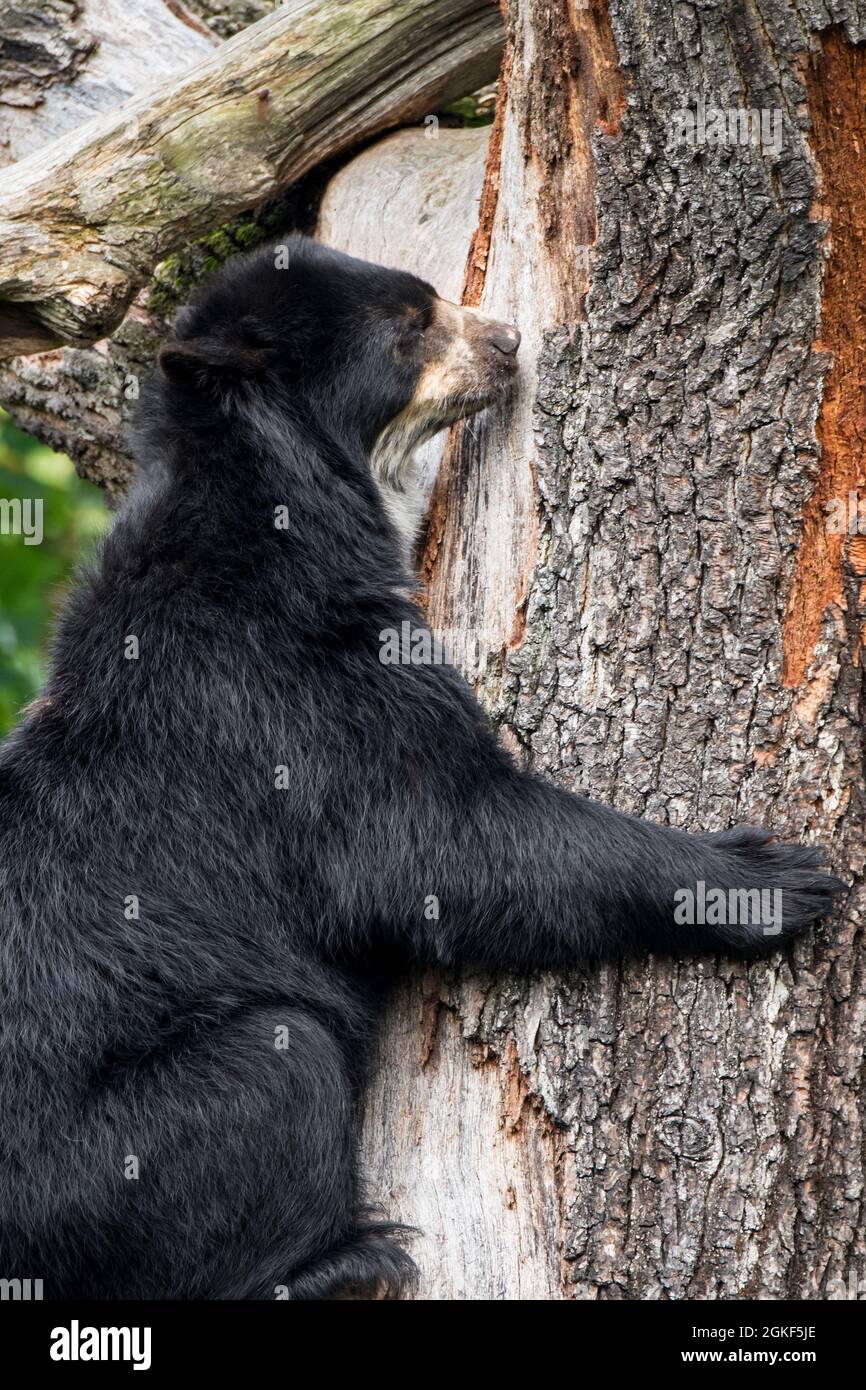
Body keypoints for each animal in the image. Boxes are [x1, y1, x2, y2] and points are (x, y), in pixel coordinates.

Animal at [0, 233, 839, 1295]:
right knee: (277, 1070)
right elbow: (439, 837)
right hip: (106, 1160)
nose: (510, 338)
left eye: (432, 293)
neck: (268, 498)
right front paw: (769, 876)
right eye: (409, 327)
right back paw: (346, 1256)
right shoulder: (293, 684)